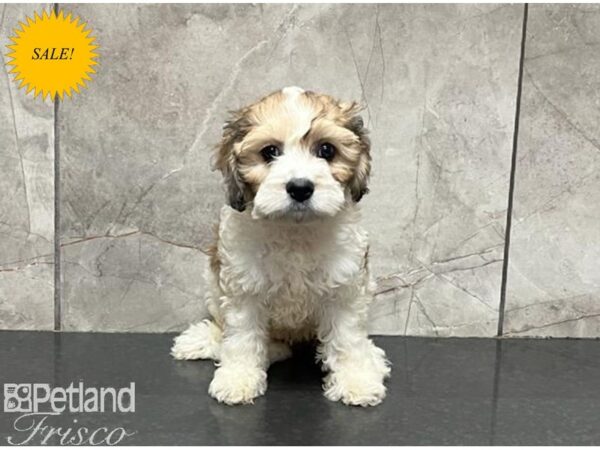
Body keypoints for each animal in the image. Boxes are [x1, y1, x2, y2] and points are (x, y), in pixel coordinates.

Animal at [171, 86, 392, 406]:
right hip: (213, 283)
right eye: (270, 152)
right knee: (225, 327)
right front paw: (238, 378)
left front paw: (356, 379)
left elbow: (347, 338)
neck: (294, 230)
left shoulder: (344, 289)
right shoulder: (243, 287)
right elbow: (241, 337)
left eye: (326, 150)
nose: (300, 188)